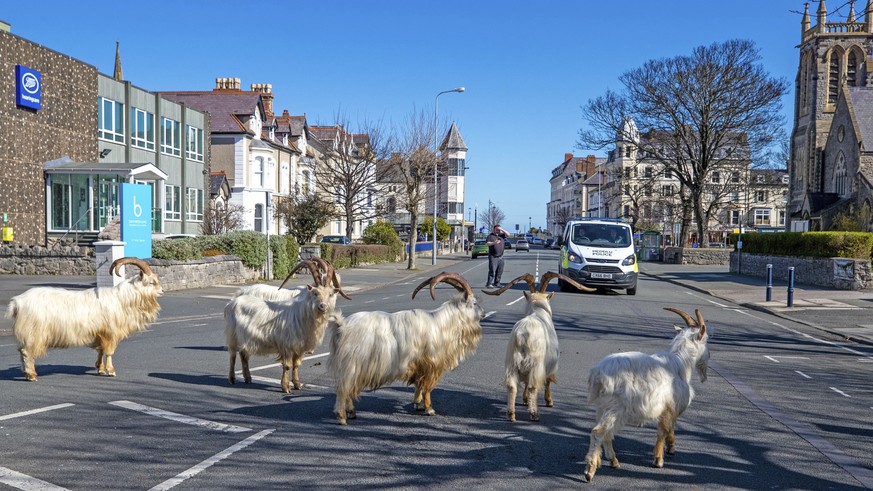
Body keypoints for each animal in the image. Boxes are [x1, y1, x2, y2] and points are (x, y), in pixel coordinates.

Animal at [6, 260, 162, 382]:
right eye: (152, 282)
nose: (161, 291)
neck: (122, 299)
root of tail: (17, 302)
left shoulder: (100, 332)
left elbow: (100, 349)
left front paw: (100, 368)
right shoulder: (111, 332)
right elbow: (109, 351)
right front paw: (111, 371)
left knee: (21, 351)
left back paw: (26, 373)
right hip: (34, 332)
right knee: (26, 352)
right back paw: (32, 375)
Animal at [223, 260, 350, 394]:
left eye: (330, 294)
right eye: (315, 293)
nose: (323, 306)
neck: (302, 315)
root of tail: (232, 301)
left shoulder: (300, 347)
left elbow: (296, 365)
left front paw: (297, 385)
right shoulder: (287, 345)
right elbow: (288, 366)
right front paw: (285, 387)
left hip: (245, 338)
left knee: (244, 355)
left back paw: (248, 378)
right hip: (232, 335)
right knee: (232, 355)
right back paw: (232, 379)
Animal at [328, 272, 484, 426]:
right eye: (474, 303)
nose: (483, 313)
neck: (442, 324)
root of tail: (342, 325)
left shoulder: (419, 365)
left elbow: (419, 385)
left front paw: (418, 404)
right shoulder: (431, 364)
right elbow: (427, 388)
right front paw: (429, 409)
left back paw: (351, 412)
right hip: (352, 364)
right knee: (344, 388)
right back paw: (342, 416)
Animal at [480, 270, 596, 420]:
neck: (538, 311)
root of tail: (523, 334)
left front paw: (524, 400)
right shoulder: (550, 363)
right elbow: (547, 381)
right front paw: (549, 401)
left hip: (512, 362)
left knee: (512, 386)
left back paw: (511, 414)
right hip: (535, 363)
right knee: (532, 386)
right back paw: (534, 414)